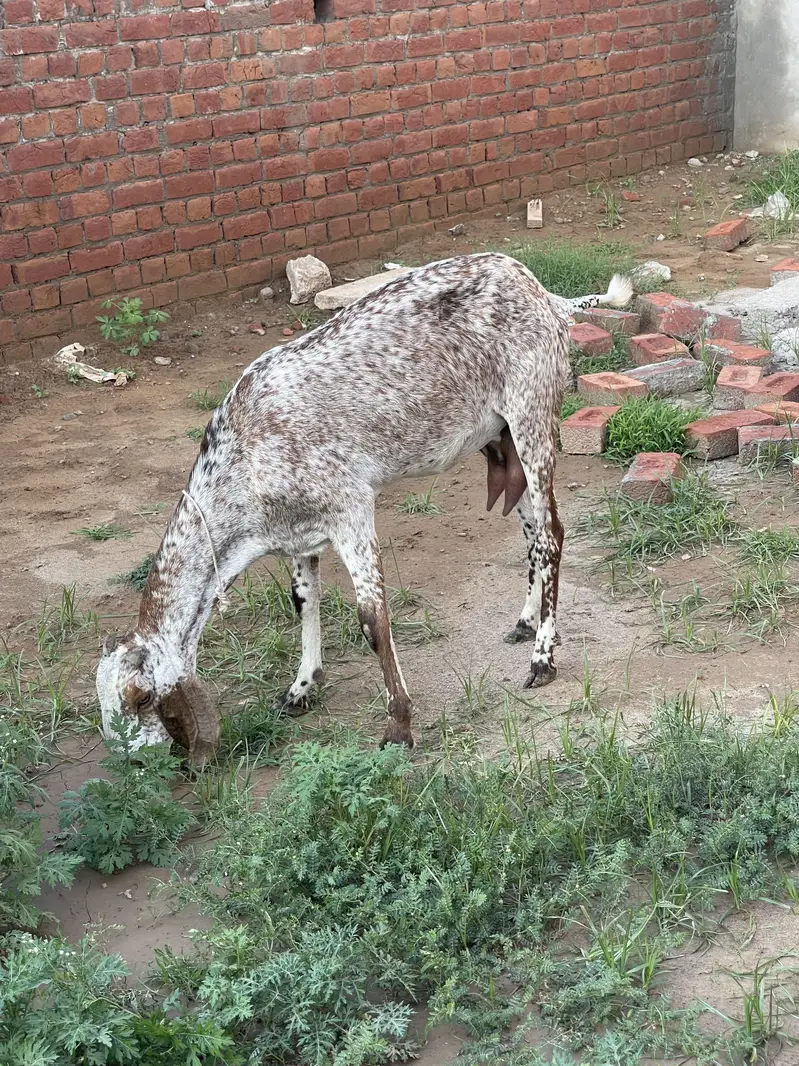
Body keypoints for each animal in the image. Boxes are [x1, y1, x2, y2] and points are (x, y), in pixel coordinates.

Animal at [96, 252, 632, 758]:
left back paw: (543, 657)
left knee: (551, 534)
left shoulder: (350, 507)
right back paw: (525, 622)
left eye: (141, 697)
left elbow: (373, 619)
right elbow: (303, 601)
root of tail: (545, 294)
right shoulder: (297, 534)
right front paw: (302, 687)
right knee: (531, 531)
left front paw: (399, 725)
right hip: (501, 440)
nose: (140, 762)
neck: (243, 456)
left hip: (532, 414)